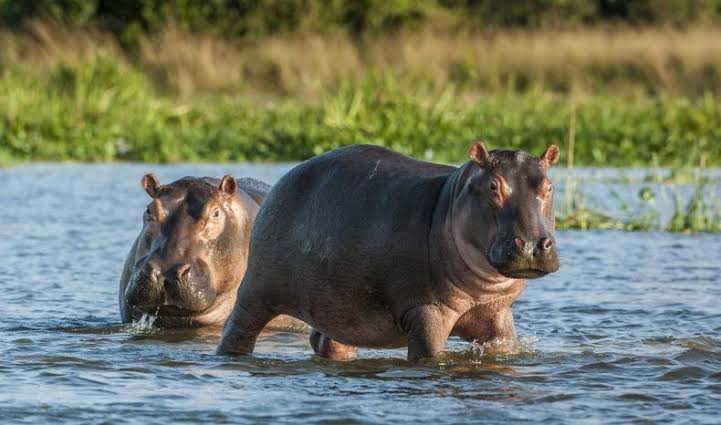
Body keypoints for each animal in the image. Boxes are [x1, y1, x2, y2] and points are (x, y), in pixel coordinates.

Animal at [217, 144, 560, 360]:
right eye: (492, 186)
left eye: (549, 186)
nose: (533, 244)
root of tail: (285, 178)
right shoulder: (426, 311)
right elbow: (429, 355)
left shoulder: (496, 313)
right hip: (256, 291)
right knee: (237, 329)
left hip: (340, 306)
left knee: (329, 341)